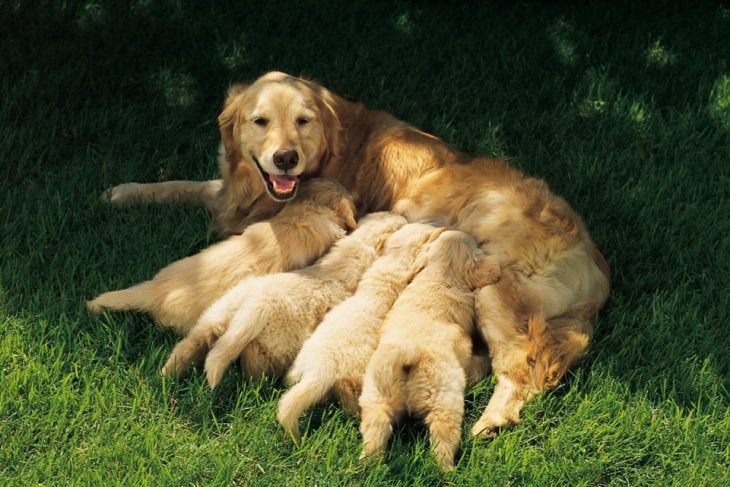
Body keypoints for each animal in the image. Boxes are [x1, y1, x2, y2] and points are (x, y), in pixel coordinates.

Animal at [159, 214, 404, 388]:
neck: (359, 244)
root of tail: (255, 307)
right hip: (270, 346)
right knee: (252, 364)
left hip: (214, 316)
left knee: (190, 344)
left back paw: (167, 373)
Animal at [356, 231, 500, 470]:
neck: (438, 277)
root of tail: (408, 354)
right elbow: (478, 362)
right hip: (445, 399)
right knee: (442, 441)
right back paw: (448, 470)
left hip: (376, 398)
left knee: (375, 433)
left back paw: (368, 465)